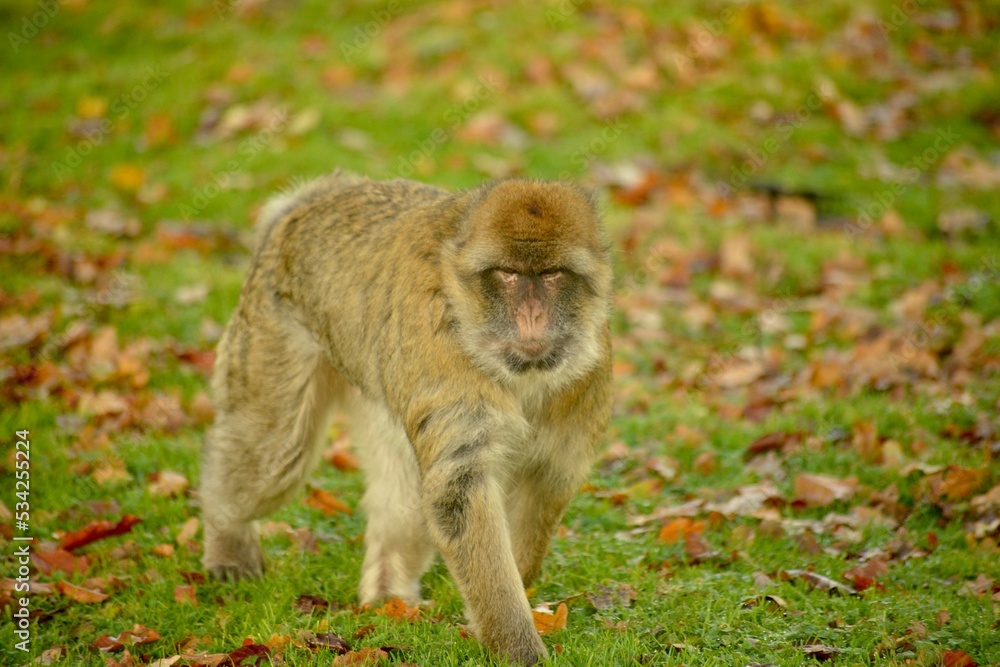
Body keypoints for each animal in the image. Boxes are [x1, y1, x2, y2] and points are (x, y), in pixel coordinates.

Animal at [199, 172, 613, 665]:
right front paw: (518, 647)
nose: (531, 316)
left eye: (551, 275)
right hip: (273, 328)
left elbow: (544, 478)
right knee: (275, 455)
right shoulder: (441, 354)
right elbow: (459, 490)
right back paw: (227, 536)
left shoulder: (587, 380)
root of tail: (317, 196)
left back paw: (388, 594)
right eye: (509, 275)